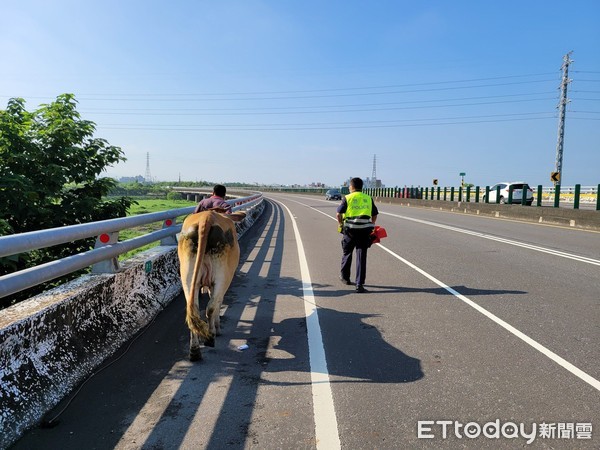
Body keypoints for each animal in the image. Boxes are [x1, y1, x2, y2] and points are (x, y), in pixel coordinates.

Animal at [177, 209, 245, 360]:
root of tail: (206, 217)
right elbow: (218, 304)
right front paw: (218, 327)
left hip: (188, 276)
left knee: (194, 310)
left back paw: (195, 351)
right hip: (222, 277)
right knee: (211, 307)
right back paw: (211, 336)